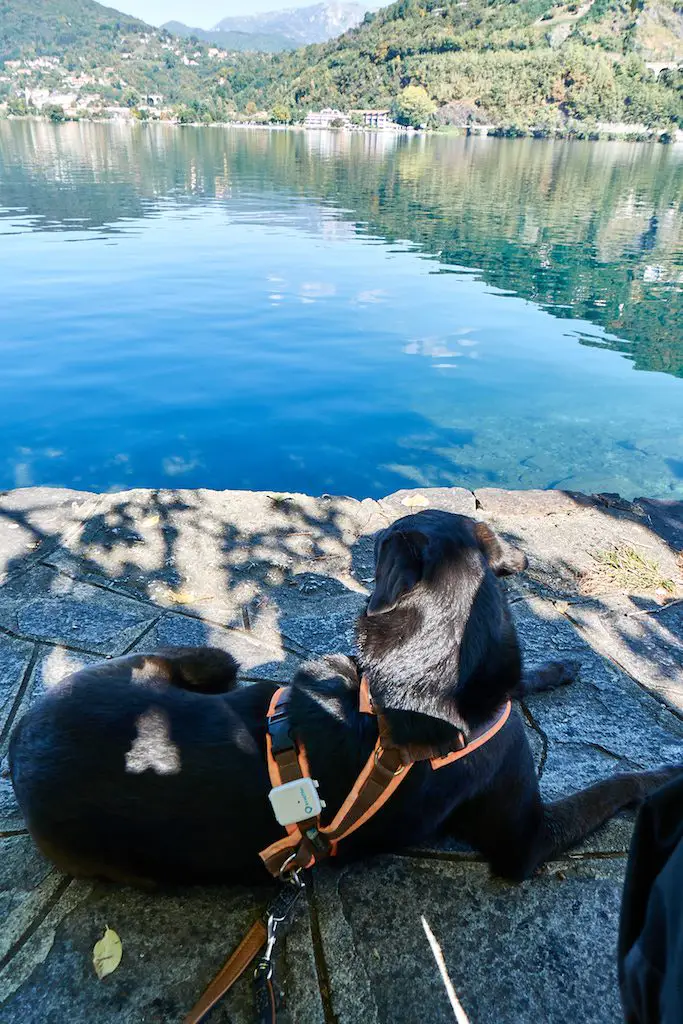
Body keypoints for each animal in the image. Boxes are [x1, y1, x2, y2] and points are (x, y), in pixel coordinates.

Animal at [9, 512, 679, 888]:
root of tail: (20, 744)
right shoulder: (525, 843)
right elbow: (612, 785)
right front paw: (665, 774)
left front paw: (559, 667)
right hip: (185, 665)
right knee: (230, 667)